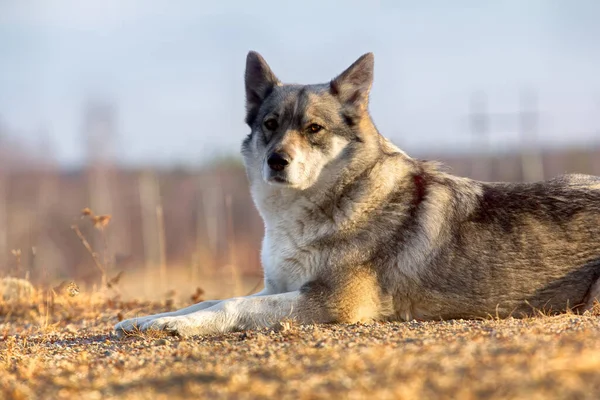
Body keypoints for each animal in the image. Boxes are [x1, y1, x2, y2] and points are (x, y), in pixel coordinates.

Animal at [115, 50, 600, 338]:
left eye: (313, 129)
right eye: (271, 125)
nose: (276, 161)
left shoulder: (331, 301)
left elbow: (230, 304)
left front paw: (180, 326)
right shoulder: (278, 285)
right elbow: (212, 297)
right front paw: (147, 320)